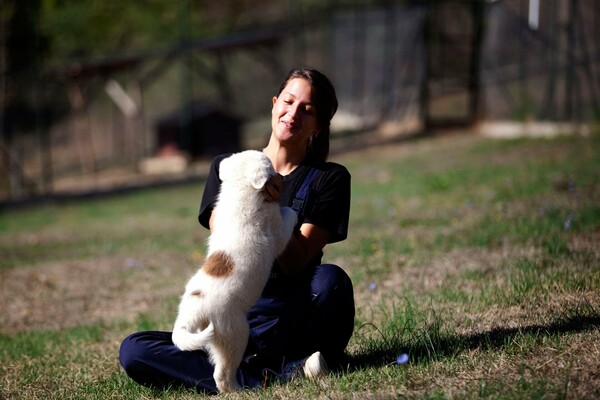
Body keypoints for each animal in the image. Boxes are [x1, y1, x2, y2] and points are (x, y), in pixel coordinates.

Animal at [171, 149, 298, 390]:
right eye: (271, 167)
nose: (282, 176)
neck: (239, 190)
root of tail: (193, 312)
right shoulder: (278, 232)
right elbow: (287, 216)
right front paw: (292, 210)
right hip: (234, 333)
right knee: (222, 373)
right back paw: (239, 390)